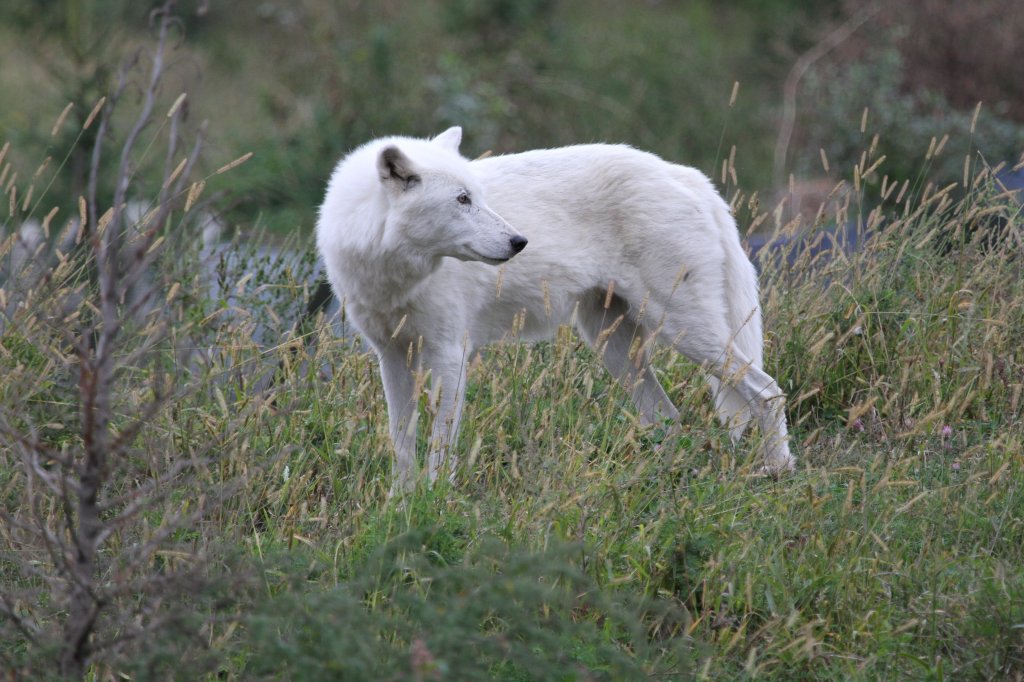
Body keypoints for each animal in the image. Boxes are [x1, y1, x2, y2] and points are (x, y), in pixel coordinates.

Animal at [315, 125, 794, 489]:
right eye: (462, 200)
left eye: (478, 196)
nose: (519, 241)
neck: (390, 270)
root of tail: (690, 176)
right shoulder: (393, 357)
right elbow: (401, 443)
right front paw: (400, 505)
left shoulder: (451, 355)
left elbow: (440, 444)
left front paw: (435, 501)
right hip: (616, 348)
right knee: (670, 418)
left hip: (683, 331)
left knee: (768, 391)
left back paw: (779, 471)